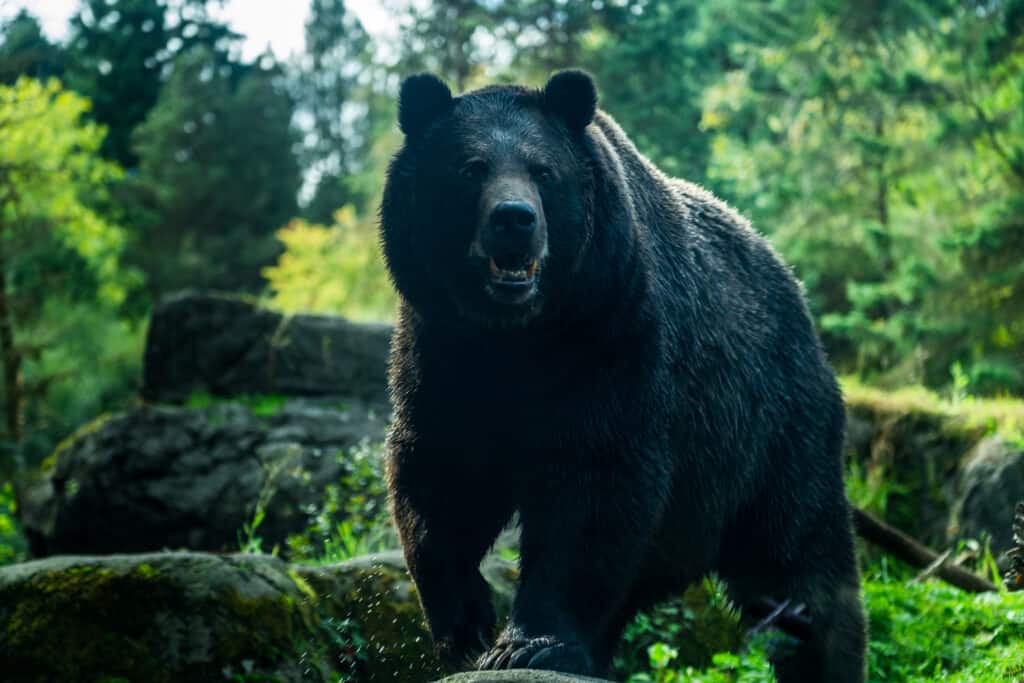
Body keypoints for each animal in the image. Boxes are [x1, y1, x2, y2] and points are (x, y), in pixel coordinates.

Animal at [380, 70, 868, 683]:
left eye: (544, 170)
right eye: (471, 167)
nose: (514, 219)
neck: (518, 335)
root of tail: (793, 285)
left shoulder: (614, 338)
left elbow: (592, 487)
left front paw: (529, 642)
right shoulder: (440, 349)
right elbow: (442, 476)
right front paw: (465, 624)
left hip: (772, 434)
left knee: (802, 563)